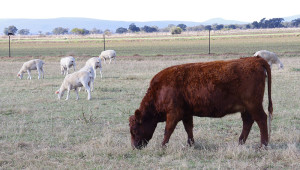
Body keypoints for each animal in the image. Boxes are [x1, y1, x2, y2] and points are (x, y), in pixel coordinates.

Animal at [129, 56, 272, 149]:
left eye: (135, 129)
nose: (135, 147)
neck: (159, 90)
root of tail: (254, 59)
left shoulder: (173, 113)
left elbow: (168, 130)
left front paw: (163, 146)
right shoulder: (186, 113)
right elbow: (188, 128)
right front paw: (191, 144)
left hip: (253, 105)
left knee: (261, 119)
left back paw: (263, 145)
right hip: (246, 108)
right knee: (248, 122)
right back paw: (240, 142)